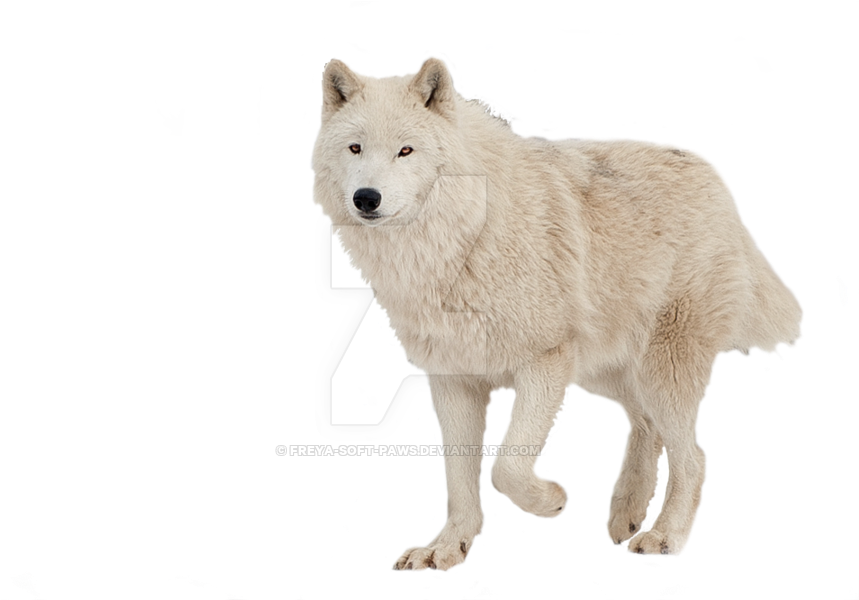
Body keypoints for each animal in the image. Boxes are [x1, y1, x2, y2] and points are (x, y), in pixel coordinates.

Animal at [309, 56, 804, 572]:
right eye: (355, 147)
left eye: (406, 150)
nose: (366, 198)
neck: (461, 240)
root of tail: (719, 179)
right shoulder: (454, 378)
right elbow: (459, 477)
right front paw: (448, 548)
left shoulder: (545, 361)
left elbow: (506, 466)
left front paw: (551, 501)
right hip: (604, 373)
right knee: (646, 426)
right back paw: (624, 516)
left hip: (657, 370)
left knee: (696, 456)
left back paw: (664, 536)